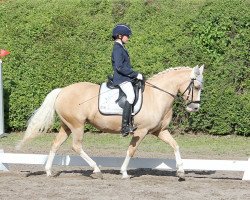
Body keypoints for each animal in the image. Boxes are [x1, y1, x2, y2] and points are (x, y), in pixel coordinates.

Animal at [17, 65, 205, 180]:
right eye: (196, 87)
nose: (195, 108)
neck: (157, 96)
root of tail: (62, 90)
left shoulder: (160, 131)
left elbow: (175, 146)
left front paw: (181, 171)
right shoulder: (141, 131)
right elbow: (131, 151)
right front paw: (124, 173)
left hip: (67, 126)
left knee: (55, 144)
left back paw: (49, 171)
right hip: (77, 126)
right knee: (76, 146)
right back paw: (97, 170)